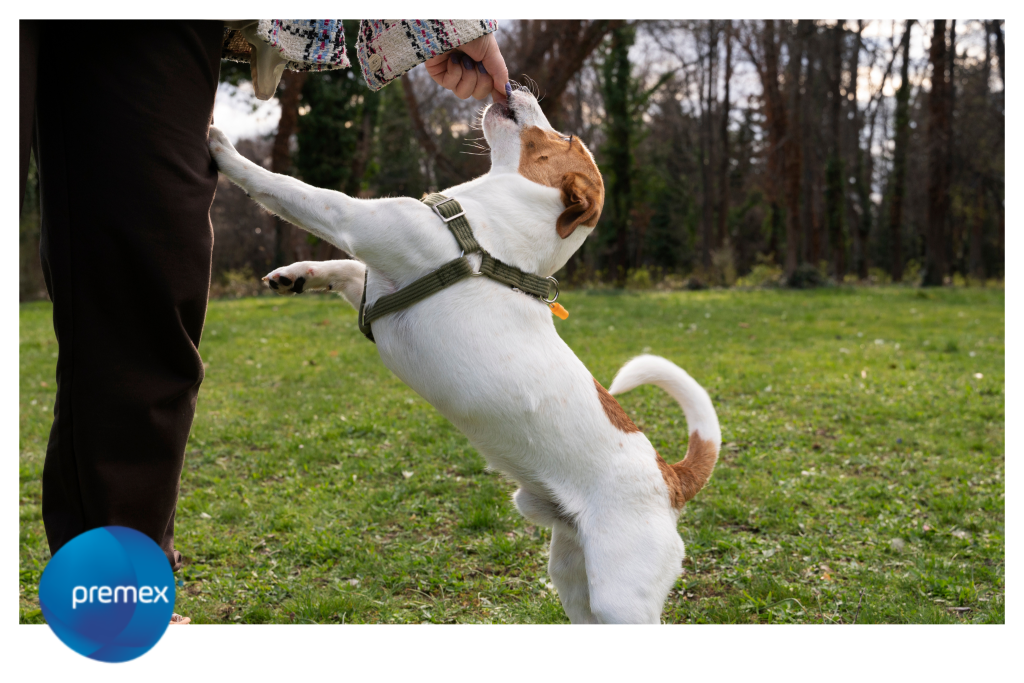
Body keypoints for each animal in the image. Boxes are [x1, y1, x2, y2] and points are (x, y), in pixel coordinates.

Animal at [207, 87, 720, 626]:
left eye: (566, 137)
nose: (517, 85)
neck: (486, 235)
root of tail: (670, 479)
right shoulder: (374, 281)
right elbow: (344, 267)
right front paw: (298, 274)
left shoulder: (358, 222)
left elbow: (289, 189)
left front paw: (222, 146)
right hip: (572, 576)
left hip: (621, 598)